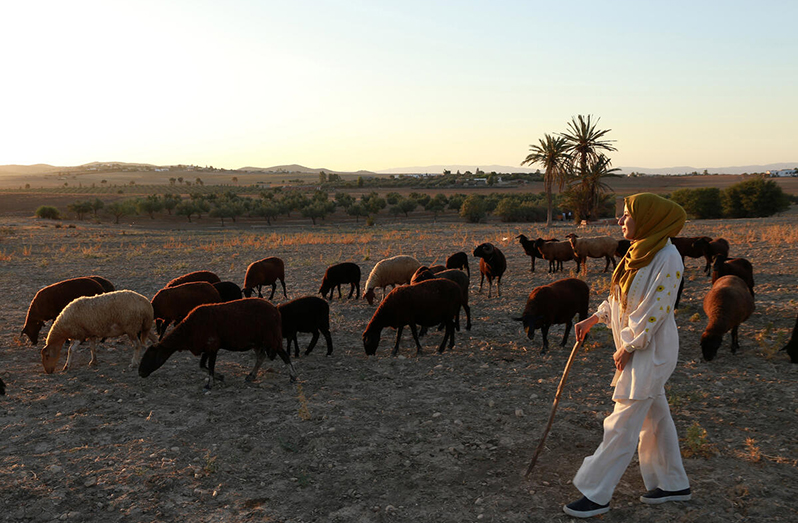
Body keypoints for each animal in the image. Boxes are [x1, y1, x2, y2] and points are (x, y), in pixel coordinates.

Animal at [140, 298, 296, 388]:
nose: (140, 372)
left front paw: (210, 383)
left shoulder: (212, 346)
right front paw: (219, 377)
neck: (188, 331)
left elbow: (210, 366)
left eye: (149, 356)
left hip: (272, 337)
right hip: (257, 341)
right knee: (261, 356)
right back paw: (251, 376)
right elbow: (202, 366)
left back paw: (293, 377)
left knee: (284, 355)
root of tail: (275, 309)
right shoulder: (206, 348)